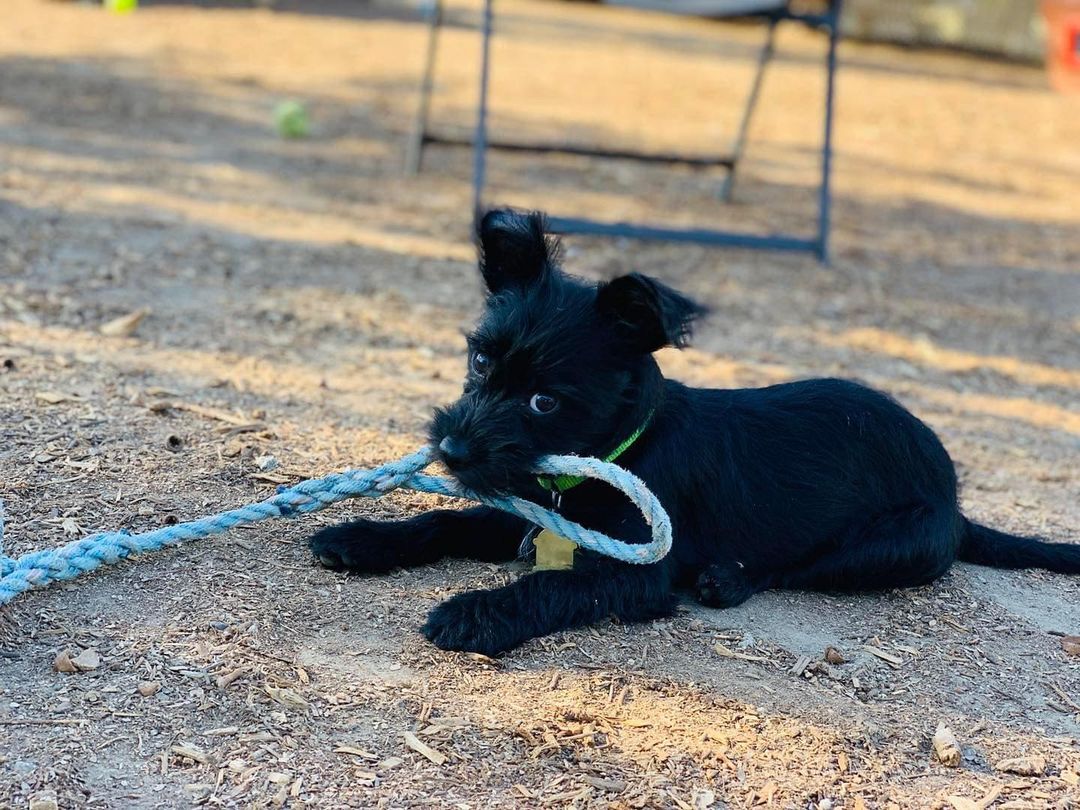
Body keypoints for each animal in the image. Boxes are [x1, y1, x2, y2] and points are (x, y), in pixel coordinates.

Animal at [308, 206, 1075, 656]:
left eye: (545, 402)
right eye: (478, 361)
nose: (453, 449)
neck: (620, 450)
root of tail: (956, 500)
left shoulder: (635, 574)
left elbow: (551, 588)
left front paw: (476, 612)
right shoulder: (522, 510)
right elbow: (447, 520)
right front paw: (364, 537)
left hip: (893, 547)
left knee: (796, 566)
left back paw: (727, 579)